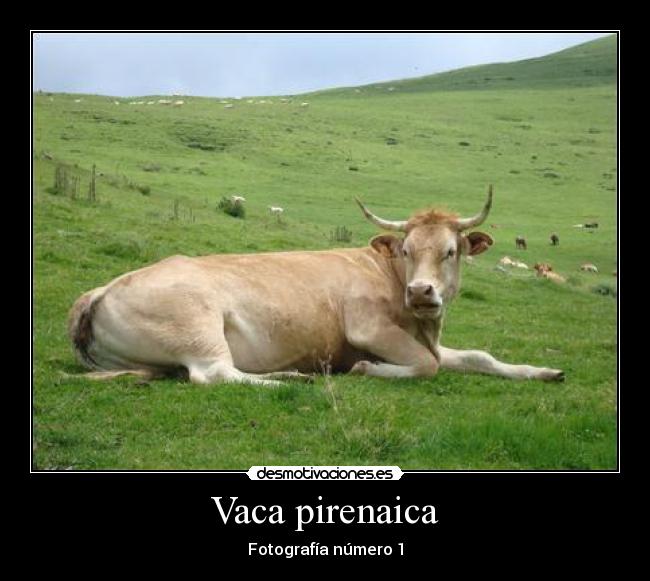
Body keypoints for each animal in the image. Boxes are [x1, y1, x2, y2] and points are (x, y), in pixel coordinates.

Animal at [68, 186, 564, 386]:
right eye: (405, 250)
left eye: (450, 251)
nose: (421, 292)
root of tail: (100, 289)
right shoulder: (367, 328)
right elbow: (427, 366)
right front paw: (365, 369)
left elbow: (479, 357)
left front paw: (543, 372)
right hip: (197, 325)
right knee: (215, 374)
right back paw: (289, 379)